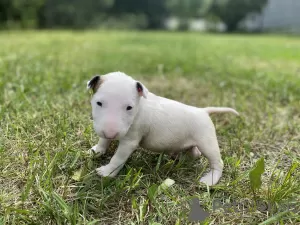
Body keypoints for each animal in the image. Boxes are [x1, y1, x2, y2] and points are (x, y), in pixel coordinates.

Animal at [86, 72, 239, 186]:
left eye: (129, 107)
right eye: (99, 103)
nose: (111, 133)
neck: (140, 106)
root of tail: (203, 111)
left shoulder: (130, 141)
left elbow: (118, 158)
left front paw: (107, 172)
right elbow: (103, 141)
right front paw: (96, 151)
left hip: (207, 141)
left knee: (217, 161)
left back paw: (210, 179)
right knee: (195, 153)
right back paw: (179, 157)